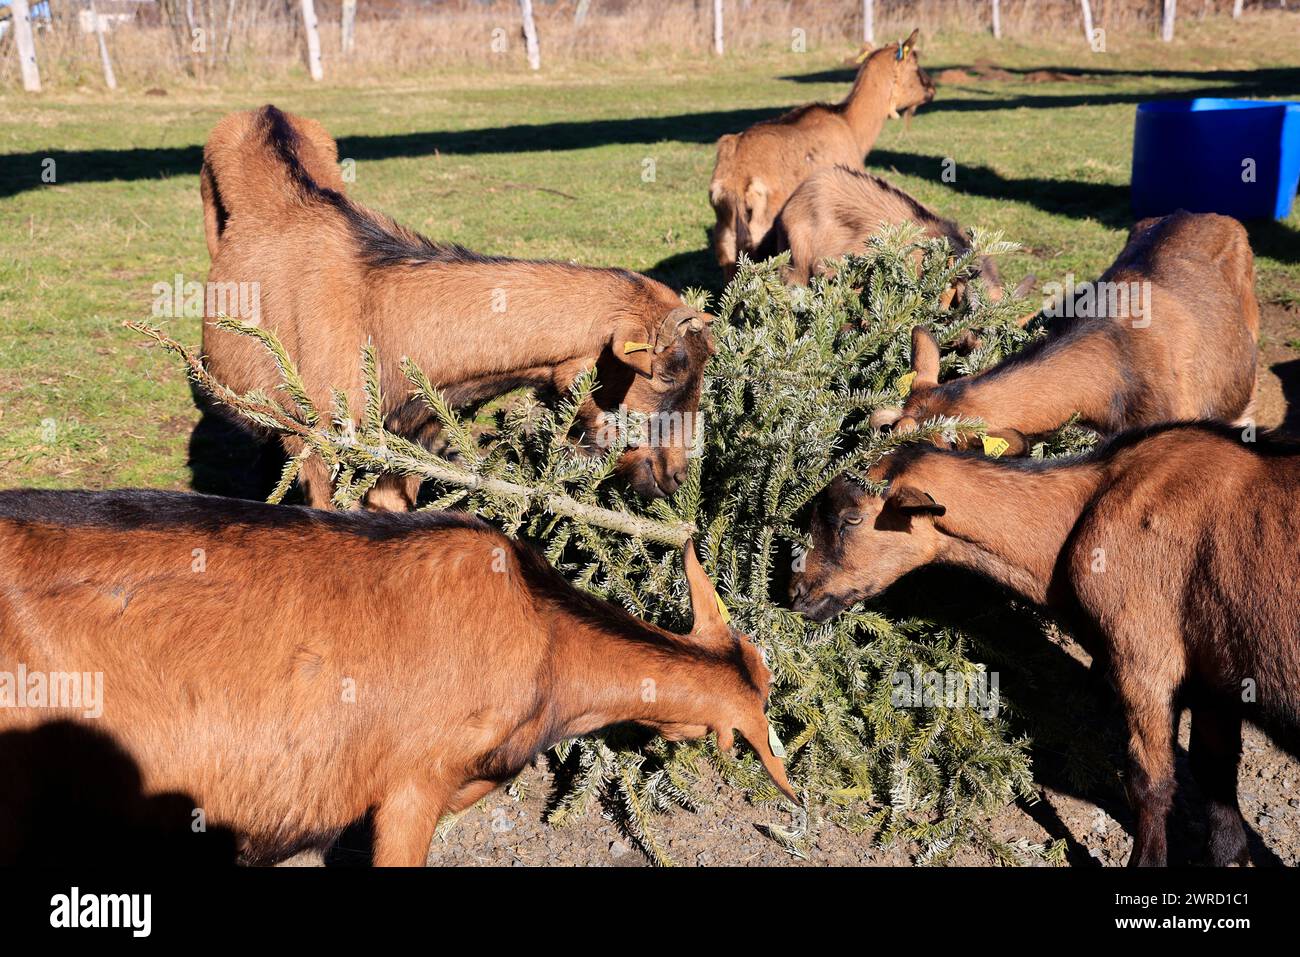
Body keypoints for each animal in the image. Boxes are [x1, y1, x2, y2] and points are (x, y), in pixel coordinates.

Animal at [200, 106, 714, 509]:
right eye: (667, 373)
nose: (676, 476)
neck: (376, 313)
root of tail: (266, 110)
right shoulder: (320, 450)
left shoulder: (412, 445)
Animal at [709, 30, 934, 280]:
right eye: (915, 64)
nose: (931, 89)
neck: (849, 124)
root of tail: (735, 180)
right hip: (763, 225)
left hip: (726, 229)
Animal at [790, 422, 1300, 866]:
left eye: (851, 519)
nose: (796, 595)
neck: (1088, 504)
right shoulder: (1217, 680)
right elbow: (1217, 775)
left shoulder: (1145, 658)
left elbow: (1151, 782)